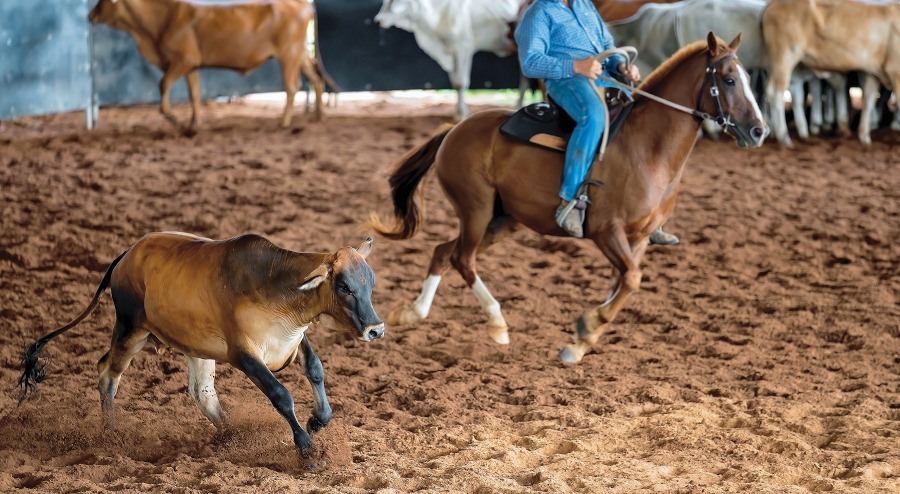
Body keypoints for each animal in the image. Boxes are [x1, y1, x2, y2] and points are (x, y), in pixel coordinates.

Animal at [17, 233, 384, 466]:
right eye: (343, 286)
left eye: (370, 283)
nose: (376, 329)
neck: (275, 286)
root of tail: (126, 255)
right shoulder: (243, 354)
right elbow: (281, 395)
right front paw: (308, 452)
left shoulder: (292, 342)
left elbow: (315, 370)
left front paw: (317, 421)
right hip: (131, 330)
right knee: (107, 372)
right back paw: (110, 434)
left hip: (196, 348)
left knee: (201, 392)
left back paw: (231, 435)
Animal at [89, 0, 336, 134]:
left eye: (103, 0)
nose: (90, 15)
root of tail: (303, 4)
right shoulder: (191, 66)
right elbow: (195, 94)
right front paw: (193, 125)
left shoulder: (183, 60)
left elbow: (163, 85)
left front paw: (175, 120)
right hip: (300, 54)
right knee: (316, 80)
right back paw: (318, 115)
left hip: (289, 54)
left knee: (292, 87)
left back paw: (284, 122)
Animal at [370, 31, 768, 362]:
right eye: (728, 79)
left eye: (748, 79)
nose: (759, 131)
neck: (647, 148)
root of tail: (455, 130)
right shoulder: (607, 231)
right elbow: (631, 280)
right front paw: (587, 327)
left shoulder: (639, 238)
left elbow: (622, 282)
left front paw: (581, 341)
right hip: (476, 210)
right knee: (463, 259)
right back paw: (498, 324)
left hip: (502, 220)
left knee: (443, 252)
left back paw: (414, 312)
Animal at [374, 0, 528, 119]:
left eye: (394, 1)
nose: (378, 20)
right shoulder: (450, 53)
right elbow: (454, 82)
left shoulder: (462, 49)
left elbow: (461, 83)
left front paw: (461, 114)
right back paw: (518, 106)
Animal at [768, 0, 900, 147]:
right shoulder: (895, 71)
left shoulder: (873, 73)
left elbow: (868, 101)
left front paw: (864, 137)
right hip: (785, 56)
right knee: (776, 93)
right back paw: (784, 137)